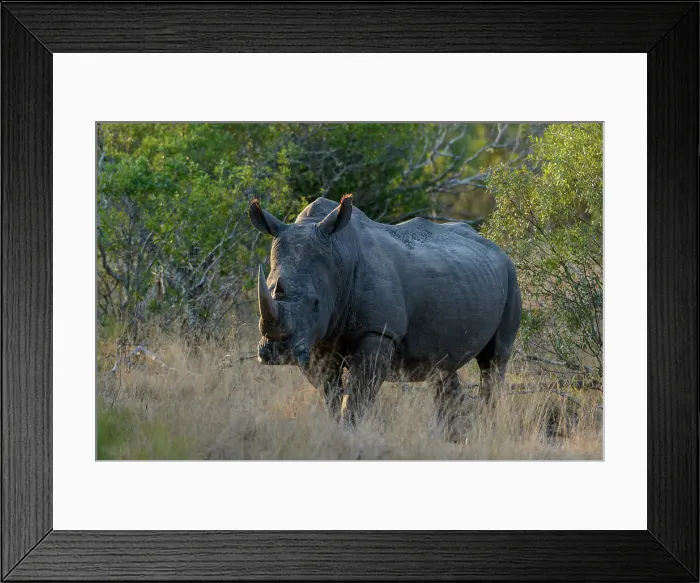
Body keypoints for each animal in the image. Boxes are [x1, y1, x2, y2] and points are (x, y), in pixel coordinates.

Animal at [248, 194, 521, 439]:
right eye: (267, 289)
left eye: (316, 304)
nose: (278, 352)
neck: (337, 258)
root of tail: (496, 246)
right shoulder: (318, 338)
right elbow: (329, 391)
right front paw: (335, 430)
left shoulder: (379, 331)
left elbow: (359, 390)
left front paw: (349, 434)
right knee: (443, 370)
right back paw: (454, 440)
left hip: (510, 277)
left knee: (493, 361)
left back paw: (485, 432)